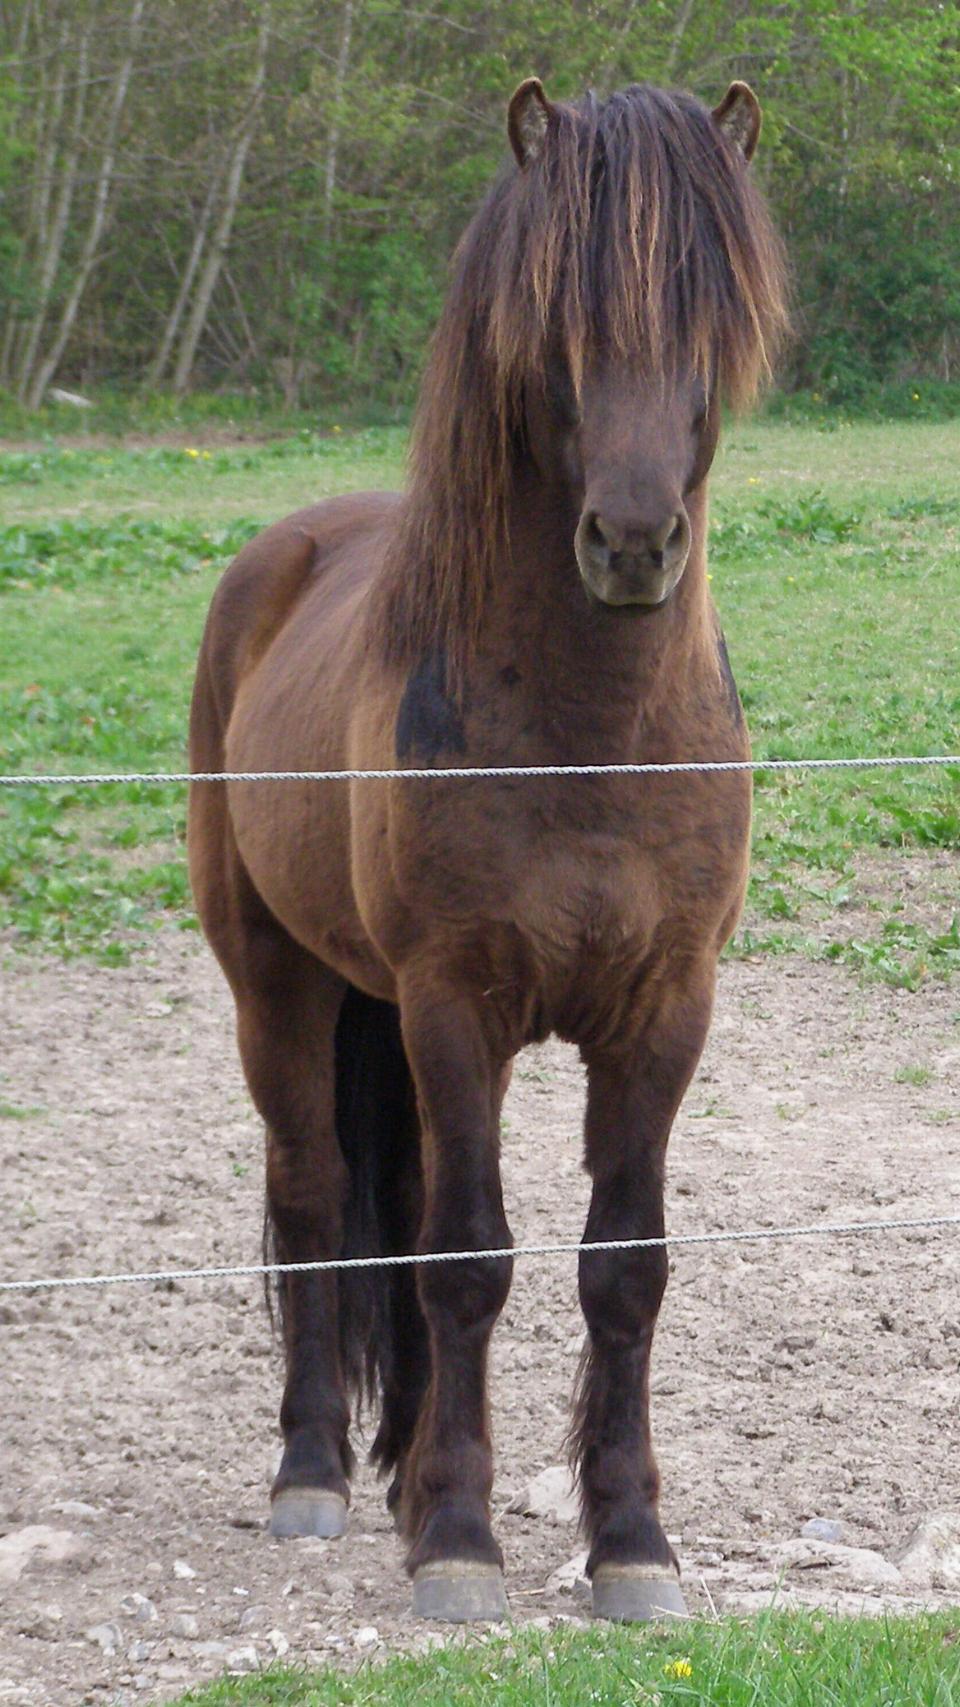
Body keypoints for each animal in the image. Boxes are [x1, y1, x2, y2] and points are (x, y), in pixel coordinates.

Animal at [187, 76, 785, 1625]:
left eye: (711, 313)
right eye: (554, 324)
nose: (632, 541)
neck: (589, 735)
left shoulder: (665, 1010)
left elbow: (621, 1266)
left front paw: (631, 1541)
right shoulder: (457, 1001)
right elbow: (465, 1256)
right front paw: (457, 1538)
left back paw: (397, 1463)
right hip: (278, 984)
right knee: (316, 1193)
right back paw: (320, 1475)